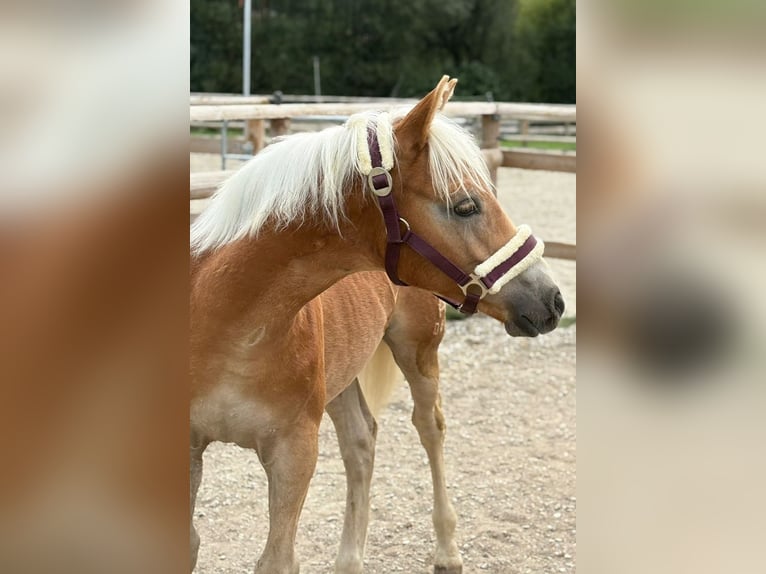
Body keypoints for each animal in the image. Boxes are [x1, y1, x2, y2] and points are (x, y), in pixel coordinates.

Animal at [190, 75, 564, 574]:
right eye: (466, 206)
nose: (553, 299)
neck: (230, 324)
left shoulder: (294, 455)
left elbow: (276, 559)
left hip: (418, 352)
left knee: (429, 427)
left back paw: (447, 551)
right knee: (360, 442)